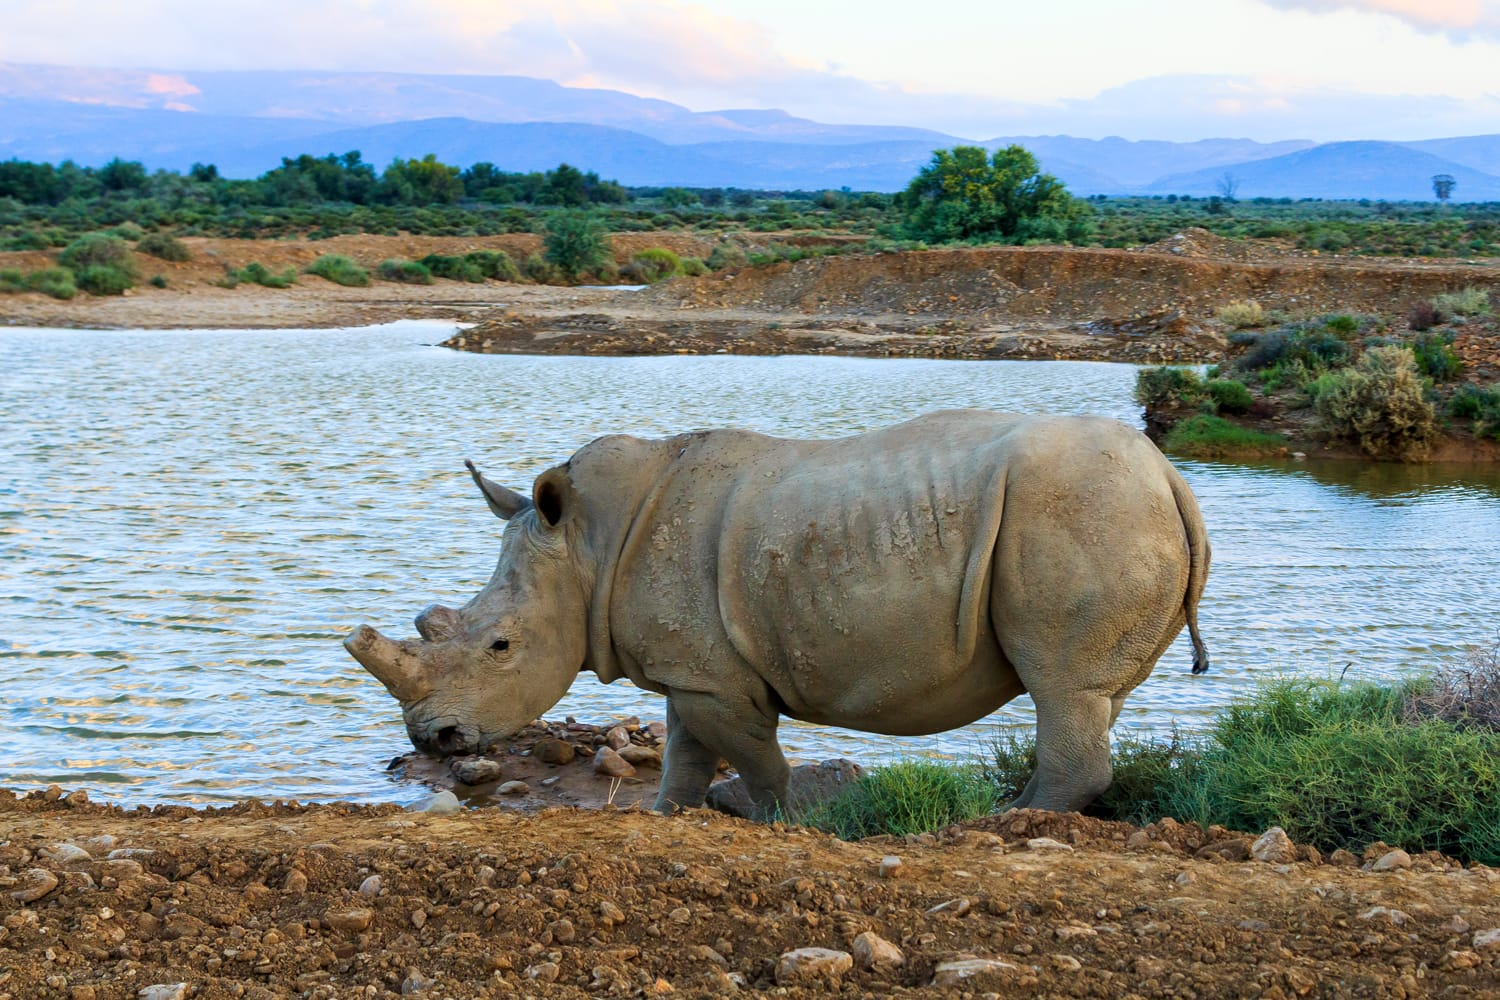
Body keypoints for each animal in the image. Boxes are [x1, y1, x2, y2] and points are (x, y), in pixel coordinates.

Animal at [345, 409, 1209, 817]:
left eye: (500, 646)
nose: (432, 739)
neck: (586, 547)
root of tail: (1172, 475)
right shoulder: (693, 669)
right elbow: (685, 757)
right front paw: (667, 817)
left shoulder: (716, 680)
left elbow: (757, 765)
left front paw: (788, 824)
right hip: (1107, 511)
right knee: (1090, 695)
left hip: (1083, 509)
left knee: (1060, 685)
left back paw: (998, 825)